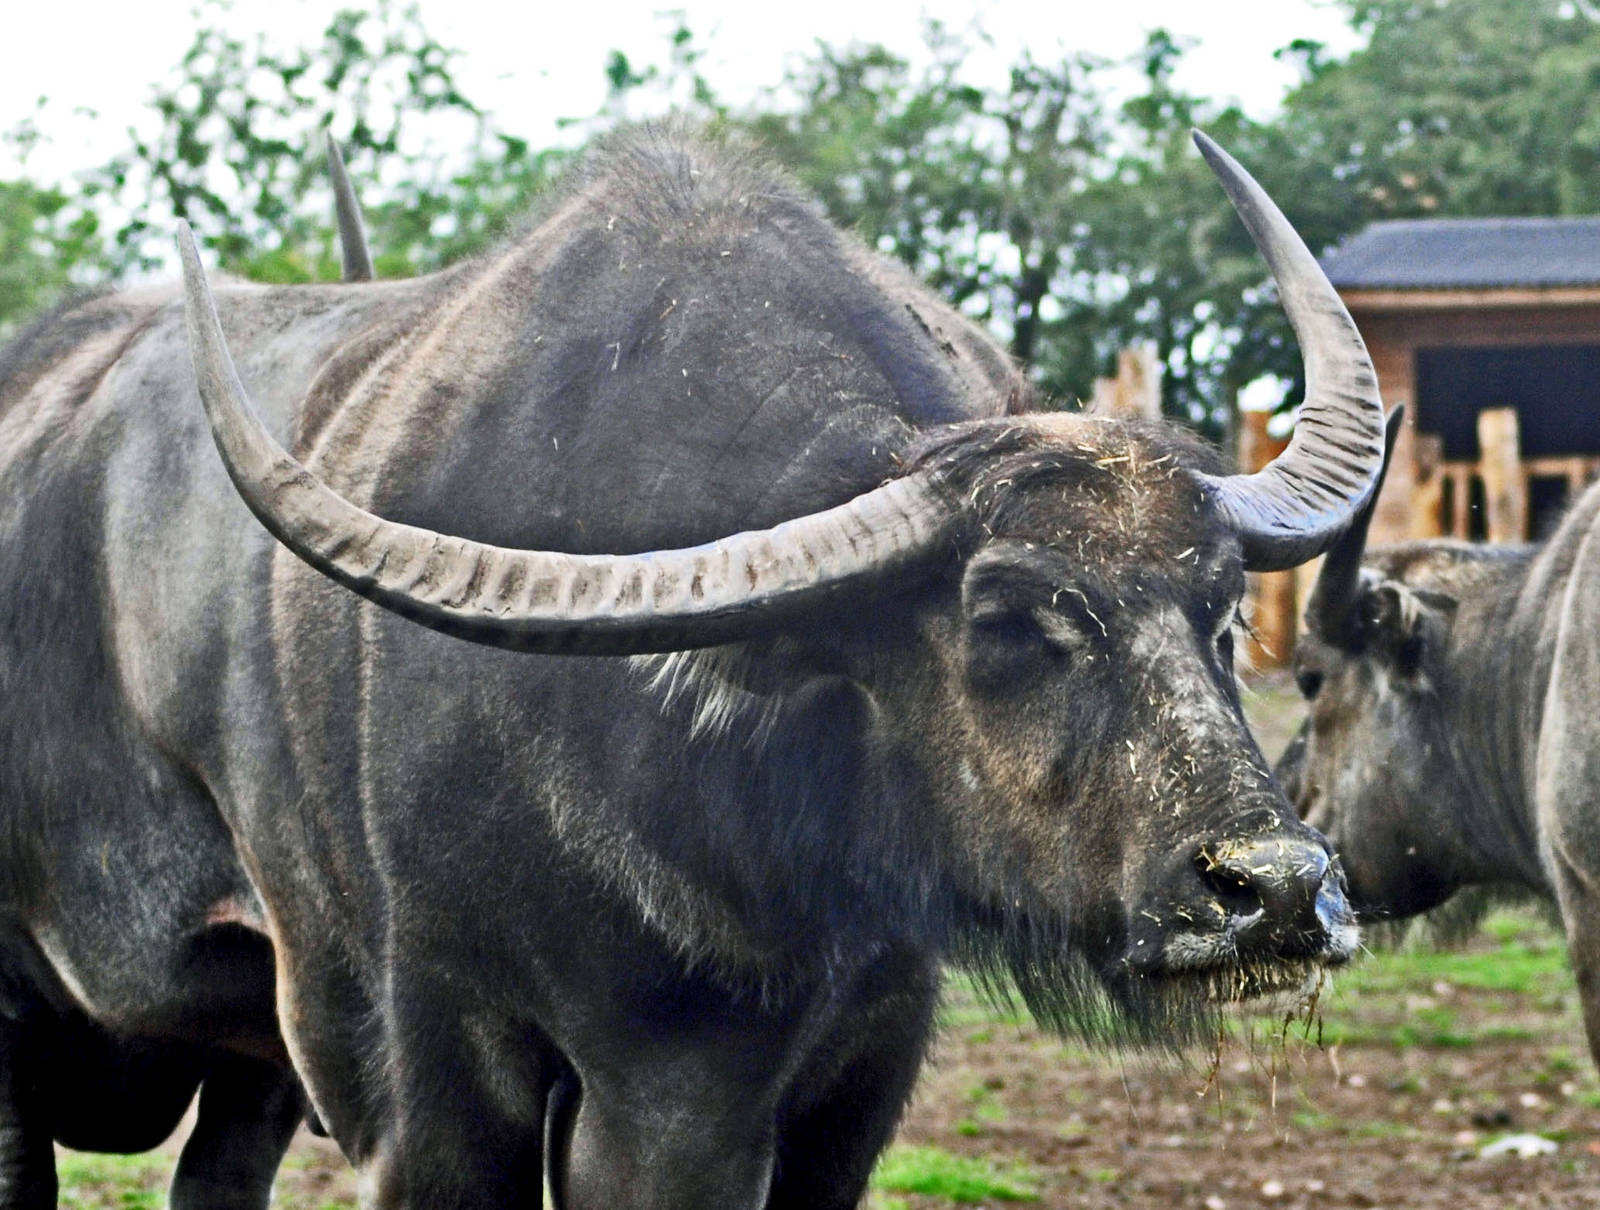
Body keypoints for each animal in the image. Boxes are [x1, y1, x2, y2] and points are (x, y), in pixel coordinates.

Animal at [0, 128, 1382, 1208]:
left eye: (1221, 614)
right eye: (1005, 616)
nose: (1274, 887)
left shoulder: (850, 1070)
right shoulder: (435, 1070)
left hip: (246, 1073)